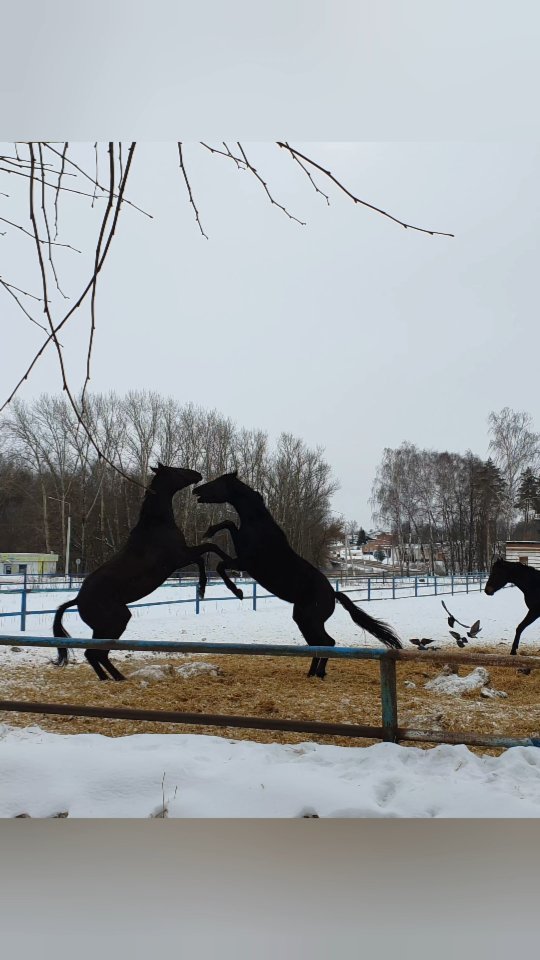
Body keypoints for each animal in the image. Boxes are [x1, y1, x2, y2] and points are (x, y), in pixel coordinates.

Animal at [53, 463, 244, 680]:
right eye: (177, 470)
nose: (197, 474)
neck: (156, 525)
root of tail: (77, 600)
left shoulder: (181, 558)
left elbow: (204, 555)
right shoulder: (180, 557)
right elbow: (208, 551)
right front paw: (212, 585)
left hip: (105, 627)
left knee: (93, 654)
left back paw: (109, 679)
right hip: (115, 622)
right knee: (96, 653)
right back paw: (118, 678)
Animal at [193, 471, 402, 679]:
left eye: (217, 482)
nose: (196, 490)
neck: (258, 525)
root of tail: (333, 594)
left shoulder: (244, 562)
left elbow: (221, 562)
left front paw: (237, 592)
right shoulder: (240, 558)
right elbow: (226, 531)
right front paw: (208, 533)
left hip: (309, 620)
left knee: (327, 642)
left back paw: (319, 673)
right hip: (303, 619)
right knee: (319, 644)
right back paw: (312, 673)